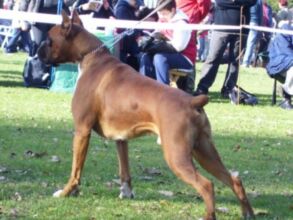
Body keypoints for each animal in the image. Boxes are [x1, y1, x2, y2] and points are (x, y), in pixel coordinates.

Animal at [37, 10, 253, 220]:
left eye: (49, 39)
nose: (38, 51)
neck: (90, 57)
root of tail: (193, 101)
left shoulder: (82, 130)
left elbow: (76, 169)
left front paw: (67, 192)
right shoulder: (121, 139)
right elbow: (124, 170)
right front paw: (126, 193)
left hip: (176, 154)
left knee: (207, 185)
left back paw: (209, 215)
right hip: (204, 151)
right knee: (234, 180)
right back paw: (248, 213)